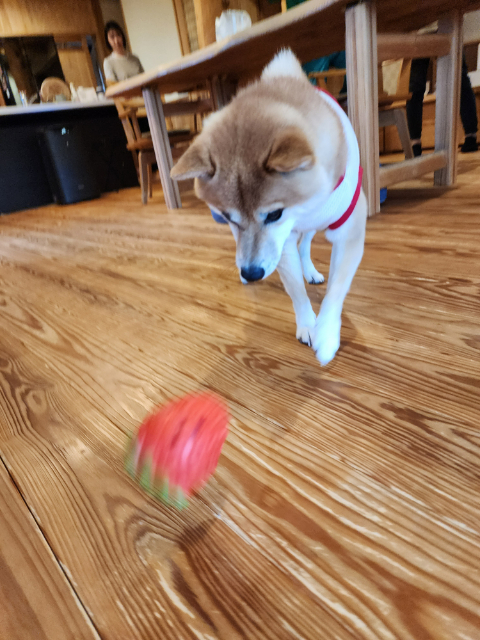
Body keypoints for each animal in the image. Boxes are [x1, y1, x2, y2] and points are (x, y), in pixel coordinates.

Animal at [171, 48, 366, 364]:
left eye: (274, 214)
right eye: (227, 216)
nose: (252, 272)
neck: (304, 208)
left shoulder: (348, 231)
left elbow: (337, 290)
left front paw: (326, 333)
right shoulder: (279, 243)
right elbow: (295, 290)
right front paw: (307, 324)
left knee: (306, 244)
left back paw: (308, 270)